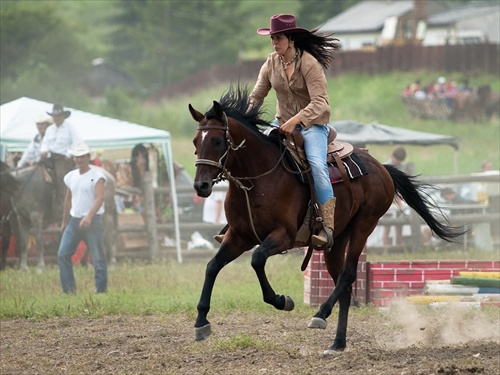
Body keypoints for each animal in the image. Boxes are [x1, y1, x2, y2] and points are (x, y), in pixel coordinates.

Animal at [189, 86, 462, 354]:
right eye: (195, 142)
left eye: (217, 140)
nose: (201, 186)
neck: (259, 179)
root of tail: (382, 168)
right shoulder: (239, 236)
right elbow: (212, 266)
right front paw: (201, 322)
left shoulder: (283, 236)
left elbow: (257, 260)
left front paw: (282, 301)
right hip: (337, 240)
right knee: (344, 285)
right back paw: (338, 343)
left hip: (364, 225)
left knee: (348, 275)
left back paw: (320, 314)